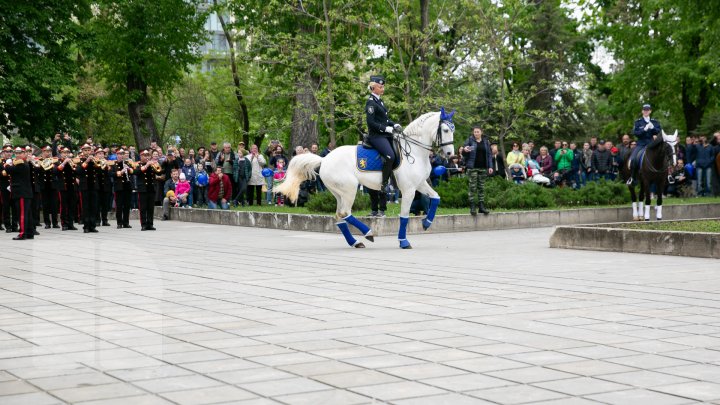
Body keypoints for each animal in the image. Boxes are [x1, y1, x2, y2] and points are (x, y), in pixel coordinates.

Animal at [276, 108, 456, 246]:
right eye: (446, 130)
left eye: (452, 129)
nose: (449, 154)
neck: (414, 152)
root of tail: (324, 159)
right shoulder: (409, 189)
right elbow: (404, 216)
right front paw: (403, 241)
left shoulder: (420, 184)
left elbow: (436, 198)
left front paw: (426, 222)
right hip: (349, 189)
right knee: (345, 213)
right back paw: (368, 233)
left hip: (338, 193)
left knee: (339, 216)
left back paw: (355, 242)